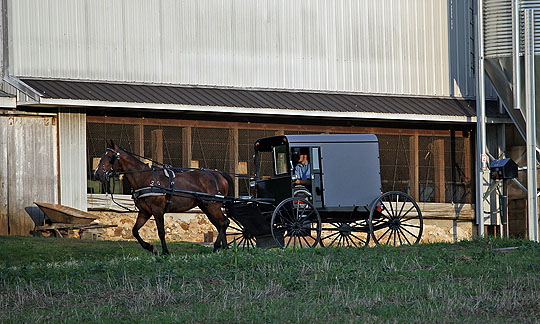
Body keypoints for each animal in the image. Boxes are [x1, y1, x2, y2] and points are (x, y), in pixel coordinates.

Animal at [94, 140, 232, 254]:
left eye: (110, 157)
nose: (97, 174)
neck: (146, 178)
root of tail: (219, 174)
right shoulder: (144, 211)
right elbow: (135, 230)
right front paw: (150, 247)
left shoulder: (157, 210)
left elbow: (161, 231)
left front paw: (165, 252)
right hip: (207, 207)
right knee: (220, 224)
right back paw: (223, 247)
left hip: (213, 206)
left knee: (224, 222)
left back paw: (217, 246)